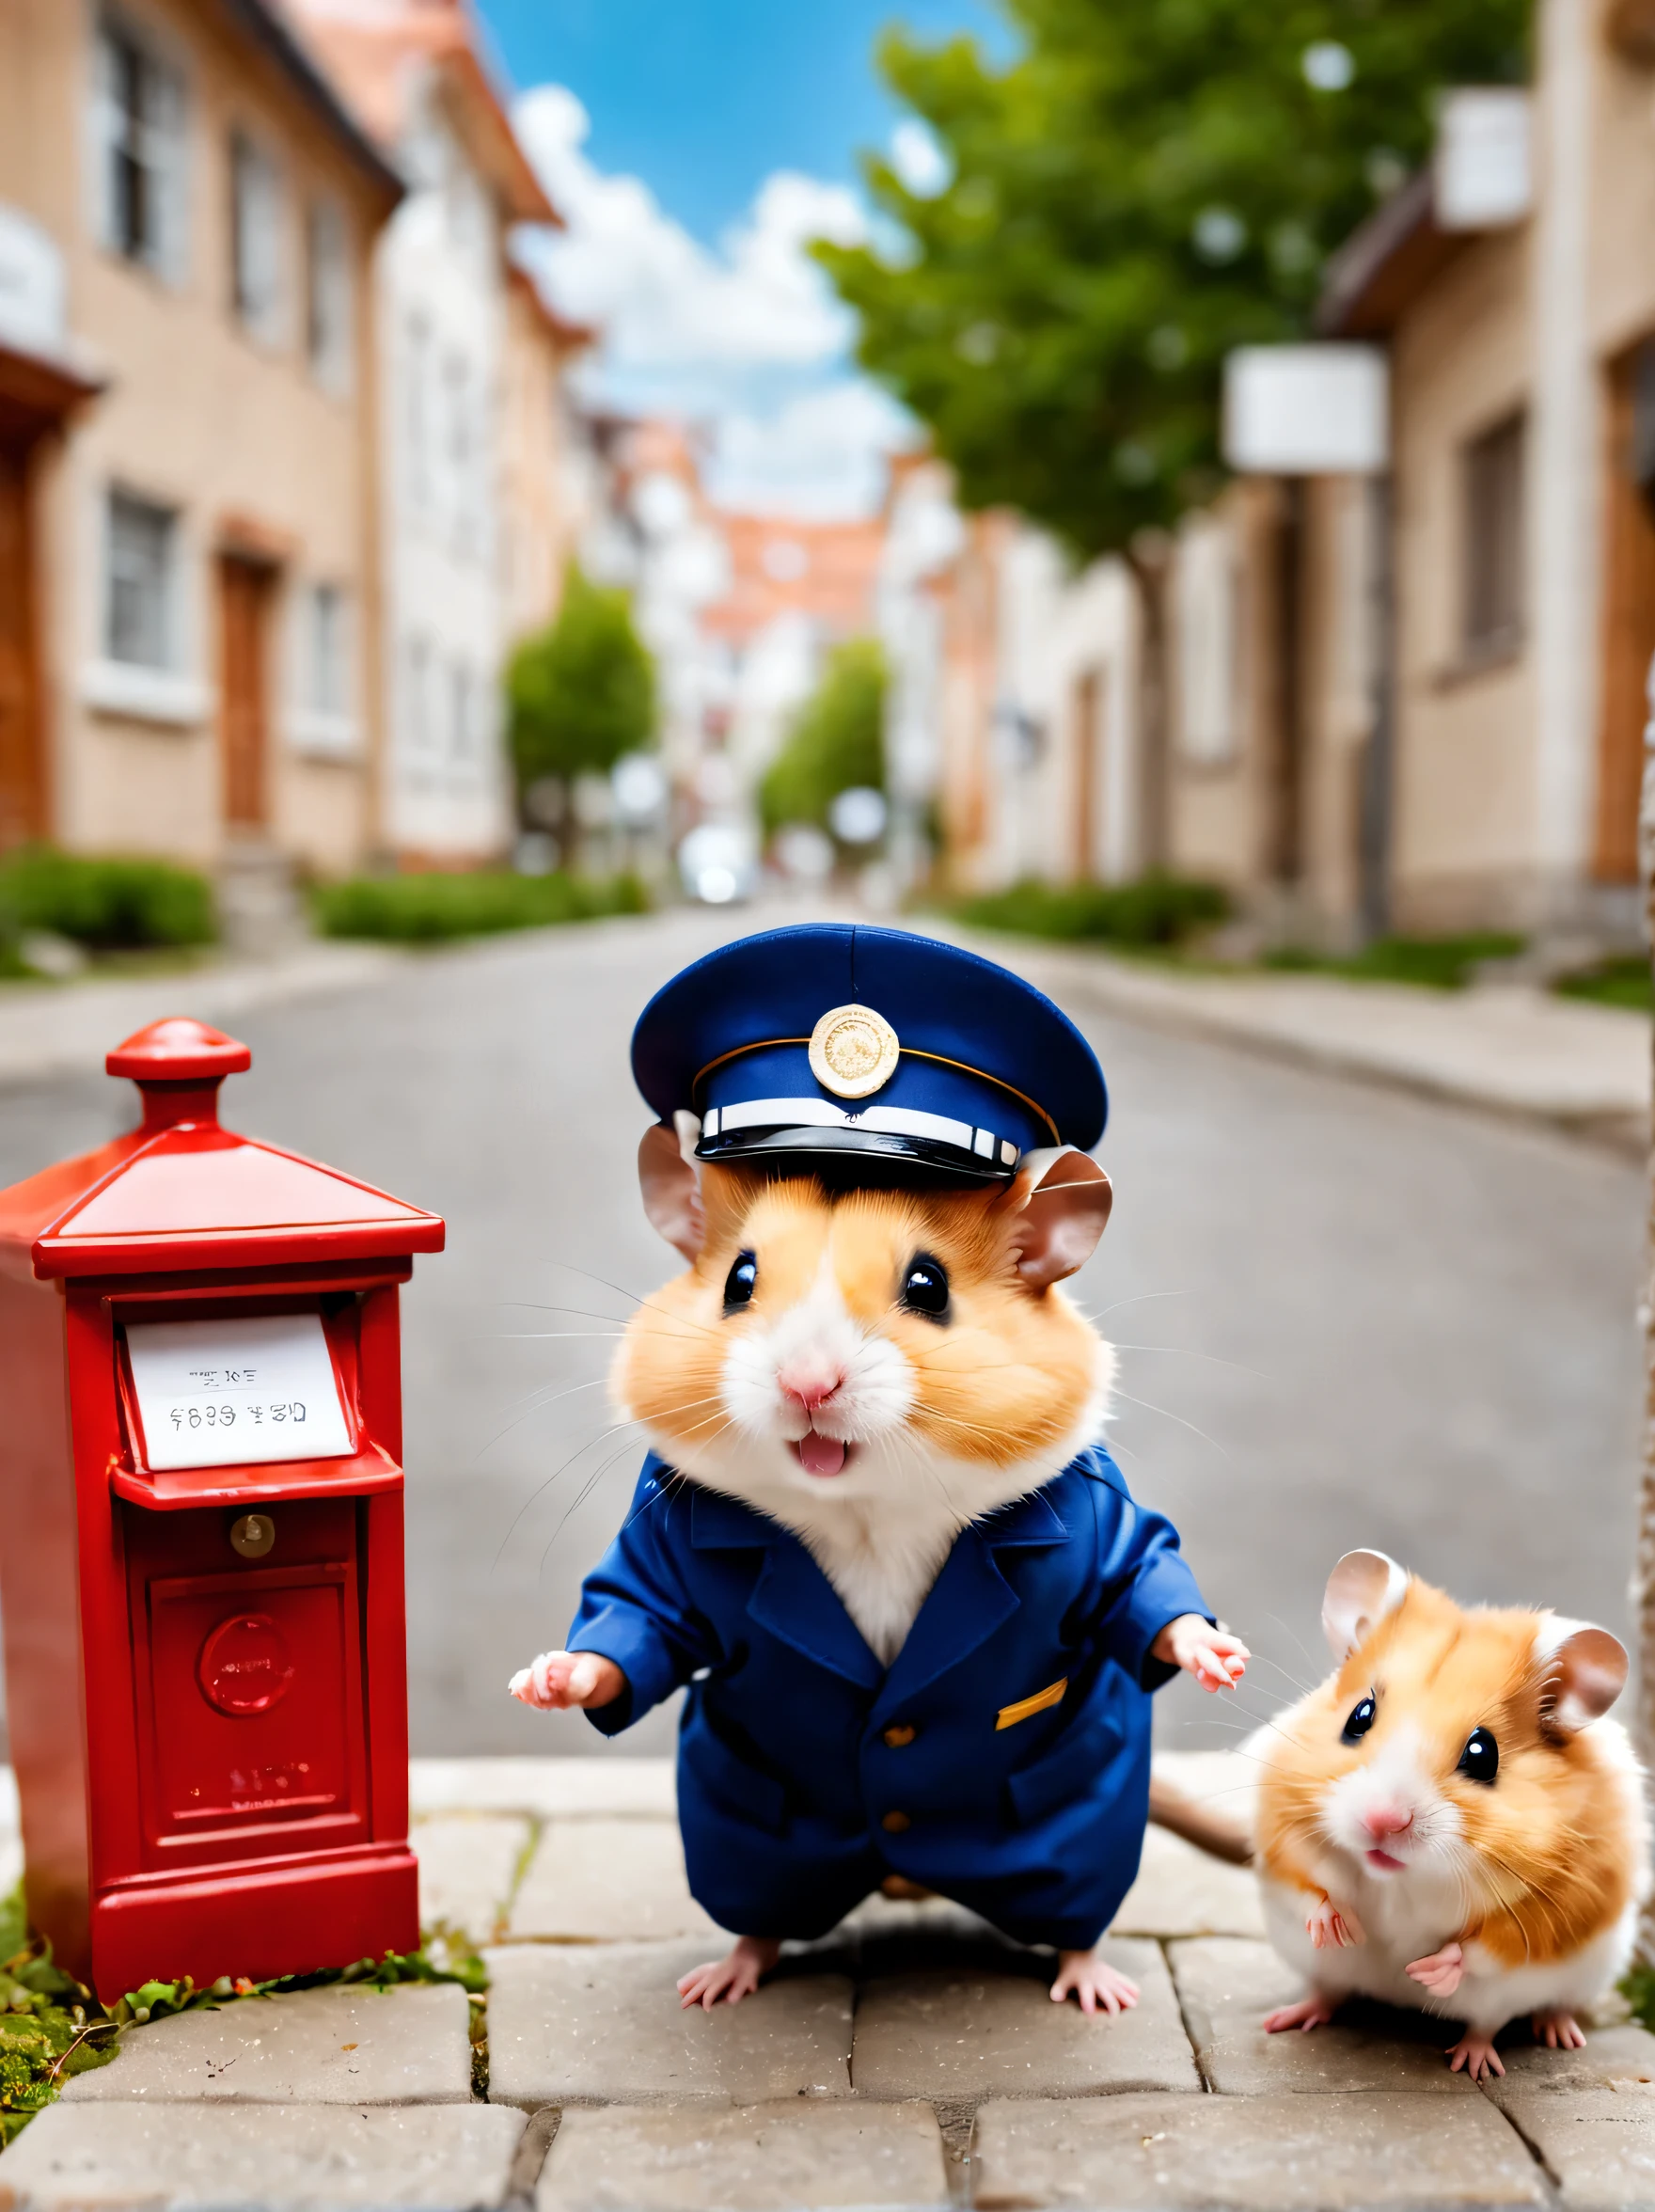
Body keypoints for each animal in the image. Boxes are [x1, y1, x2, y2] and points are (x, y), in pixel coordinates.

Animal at [511, 924, 1248, 2017]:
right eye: (738, 1281)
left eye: (927, 1286)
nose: (807, 1383)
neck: (863, 1505)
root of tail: (899, 1874)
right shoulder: (661, 1550)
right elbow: (633, 1622)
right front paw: (549, 1679)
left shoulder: (1093, 1526)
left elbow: (1145, 1583)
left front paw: (1219, 1657)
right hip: (741, 1829)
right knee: (758, 1908)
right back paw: (722, 1978)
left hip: (1076, 1826)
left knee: (1077, 1908)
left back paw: (1095, 1986)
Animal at [1256, 1556, 1646, 2070]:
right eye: (1359, 1715)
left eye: (1483, 1755)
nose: (1382, 1822)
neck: (1397, 1878)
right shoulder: (1281, 1836)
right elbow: (1308, 1889)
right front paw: (1343, 1929)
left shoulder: (1561, 1905)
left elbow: (1485, 1947)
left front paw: (1422, 1971)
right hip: (1323, 1973)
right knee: (1327, 1992)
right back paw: (1284, 2019)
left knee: (1495, 2023)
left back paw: (1500, 2055)